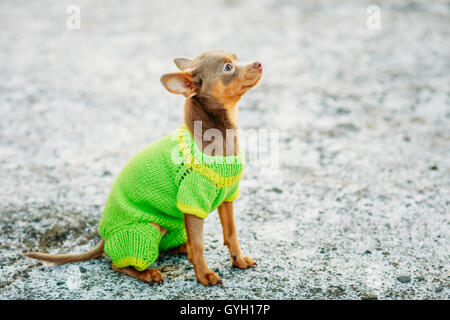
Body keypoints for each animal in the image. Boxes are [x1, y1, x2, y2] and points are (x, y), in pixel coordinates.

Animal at [24, 50, 262, 288]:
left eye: (236, 57)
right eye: (228, 68)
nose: (259, 63)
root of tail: (103, 238)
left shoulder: (228, 198)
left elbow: (231, 233)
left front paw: (238, 260)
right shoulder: (192, 203)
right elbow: (199, 243)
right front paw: (204, 275)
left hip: (173, 225)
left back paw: (181, 249)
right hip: (146, 230)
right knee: (116, 264)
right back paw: (149, 273)